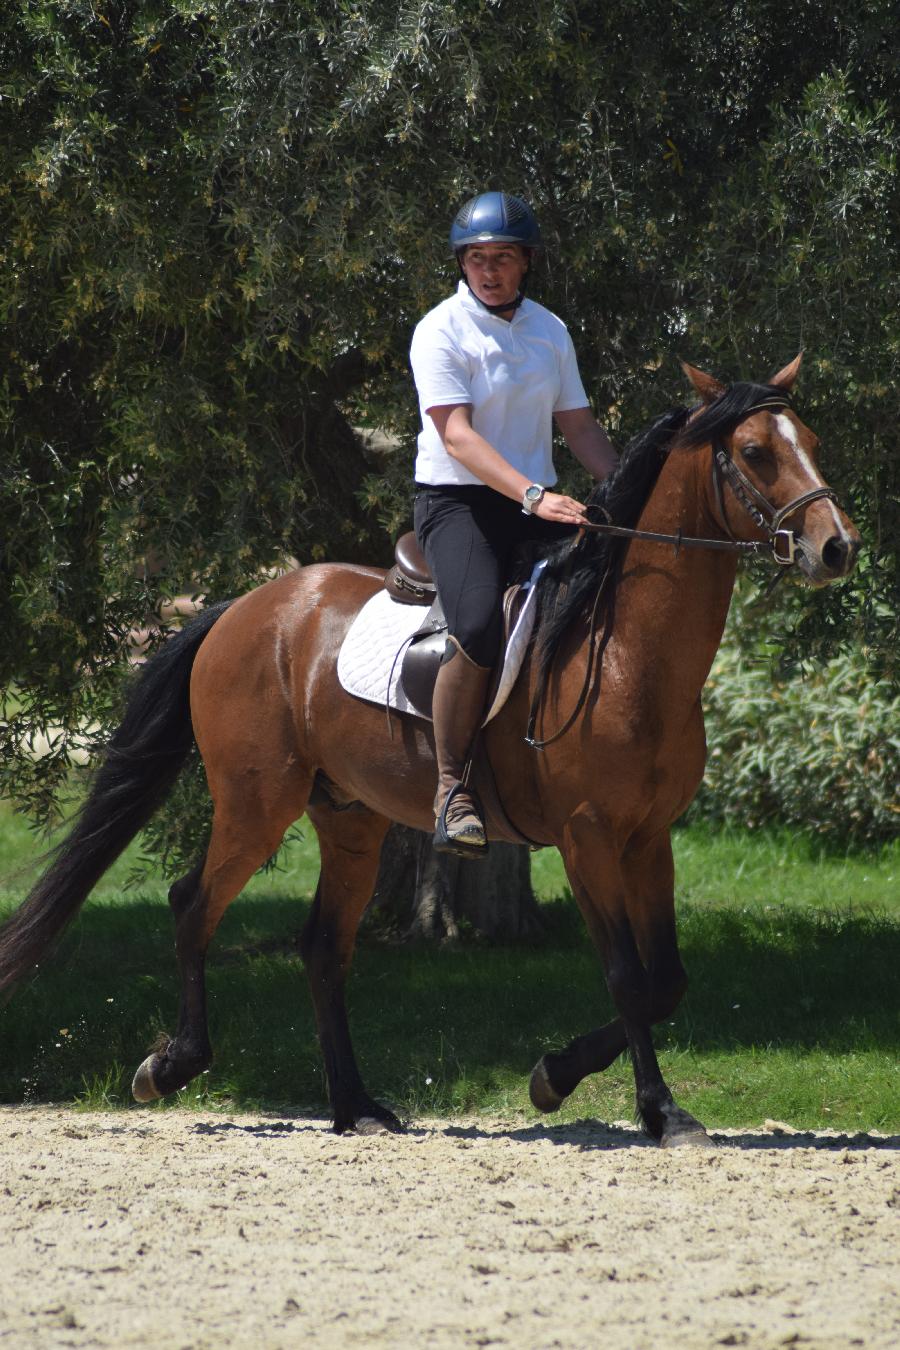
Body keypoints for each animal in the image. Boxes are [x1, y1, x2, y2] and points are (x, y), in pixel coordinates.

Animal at [0, 356, 858, 1139]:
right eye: (755, 452)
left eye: (812, 441)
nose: (837, 547)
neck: (625, 654)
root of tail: (247, 608)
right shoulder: (587, 838)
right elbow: (627, 977)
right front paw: (650, 1108)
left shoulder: (649, 838)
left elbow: (667, 981)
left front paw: (560, 1076)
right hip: (257, 803)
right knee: (193, 907)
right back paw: (171, 1065)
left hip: (350, 819)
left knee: (323, 949)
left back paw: (358, 1107)